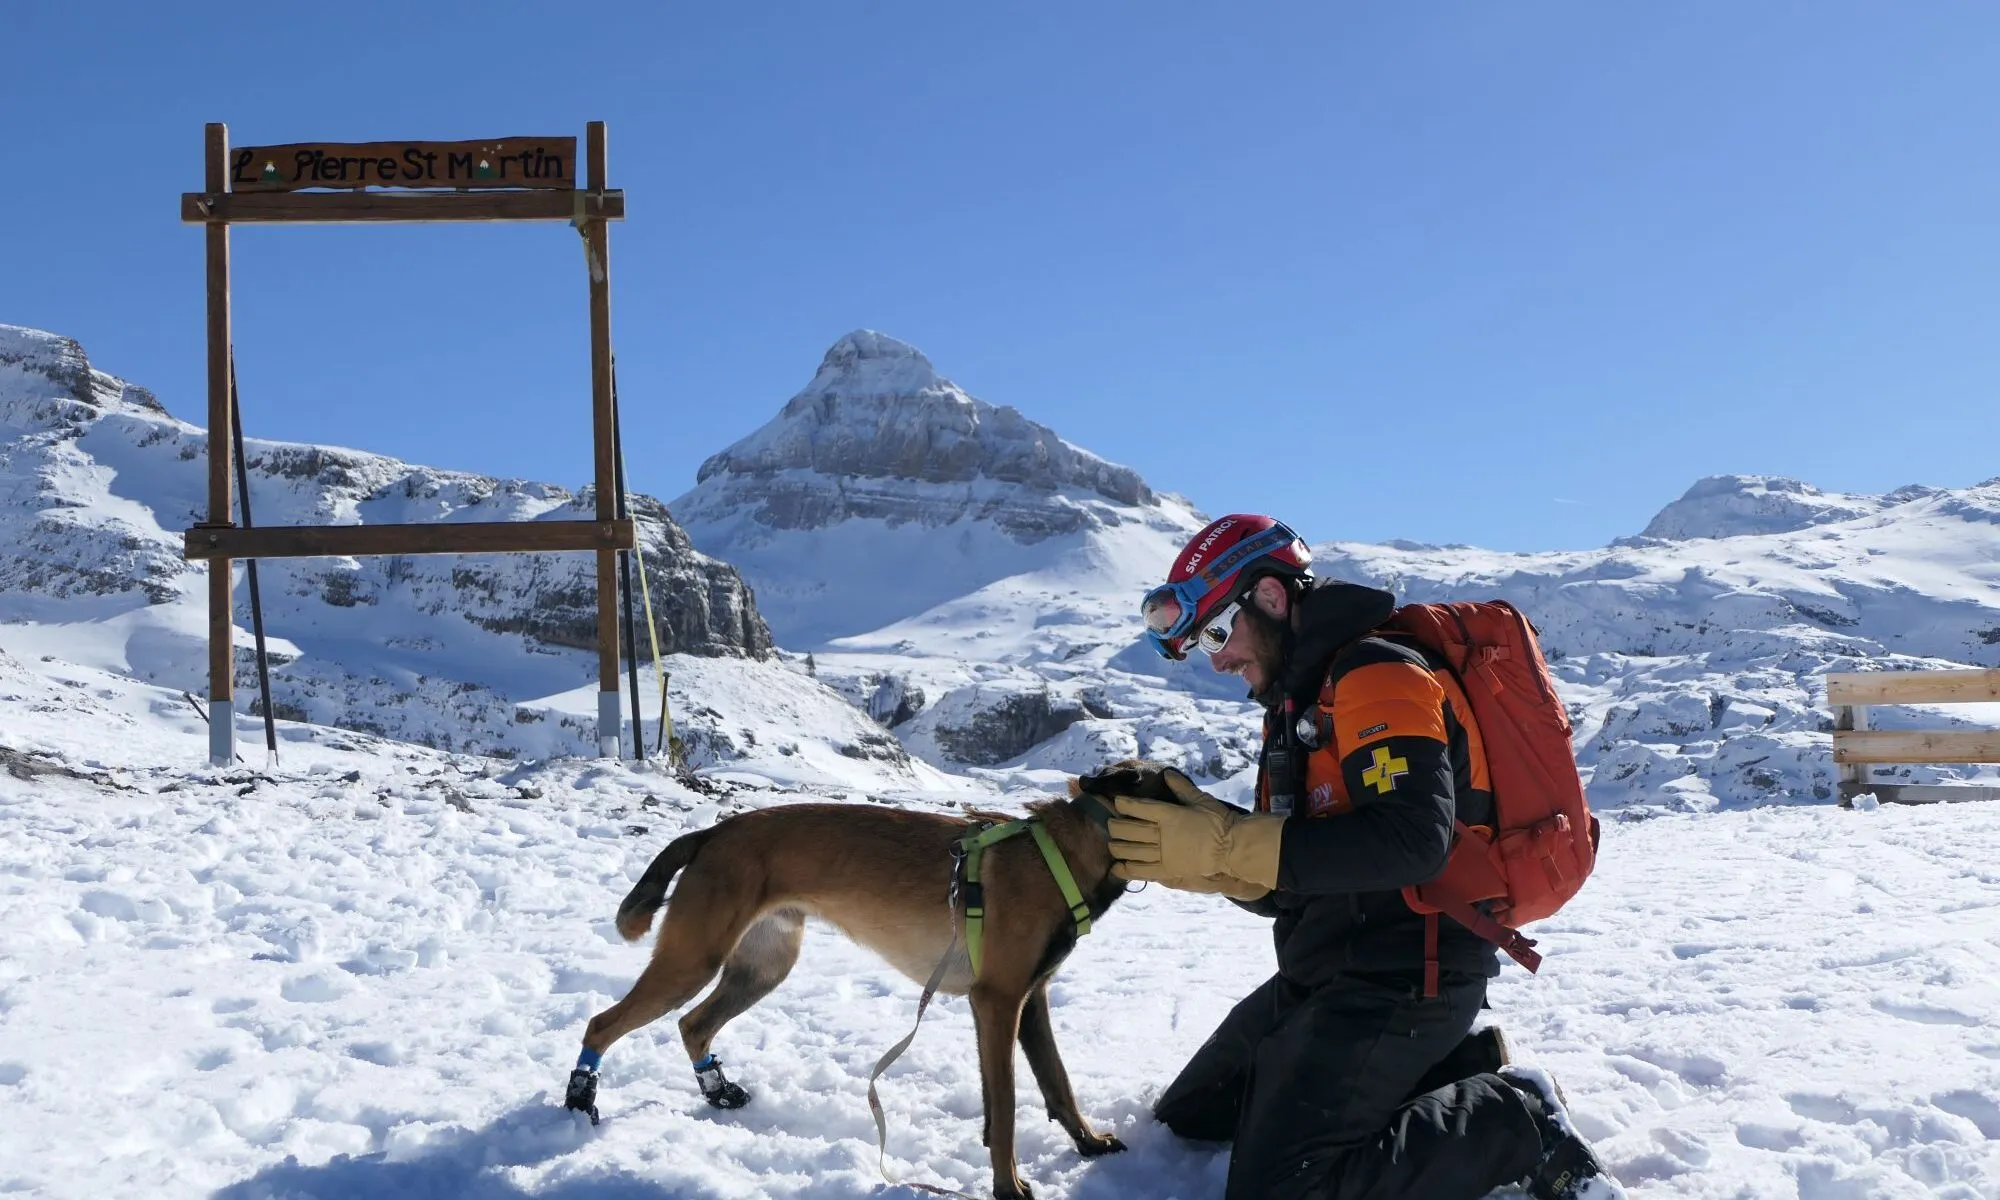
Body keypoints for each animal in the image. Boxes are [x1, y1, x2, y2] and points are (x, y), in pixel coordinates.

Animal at [564, 764, 1184, 1192]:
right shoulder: (998, 1002)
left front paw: (1089, 1143)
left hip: (760, 968)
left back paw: (717, 1091)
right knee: (603, 1024)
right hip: (692, 961)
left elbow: (1057, 1083)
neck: (1063, 854)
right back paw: (579, 1099)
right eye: (1179, 788)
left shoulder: (1031, 1002)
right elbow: (1007, 1109)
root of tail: (714, 833)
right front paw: (1009, 1188)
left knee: (693, 1024)